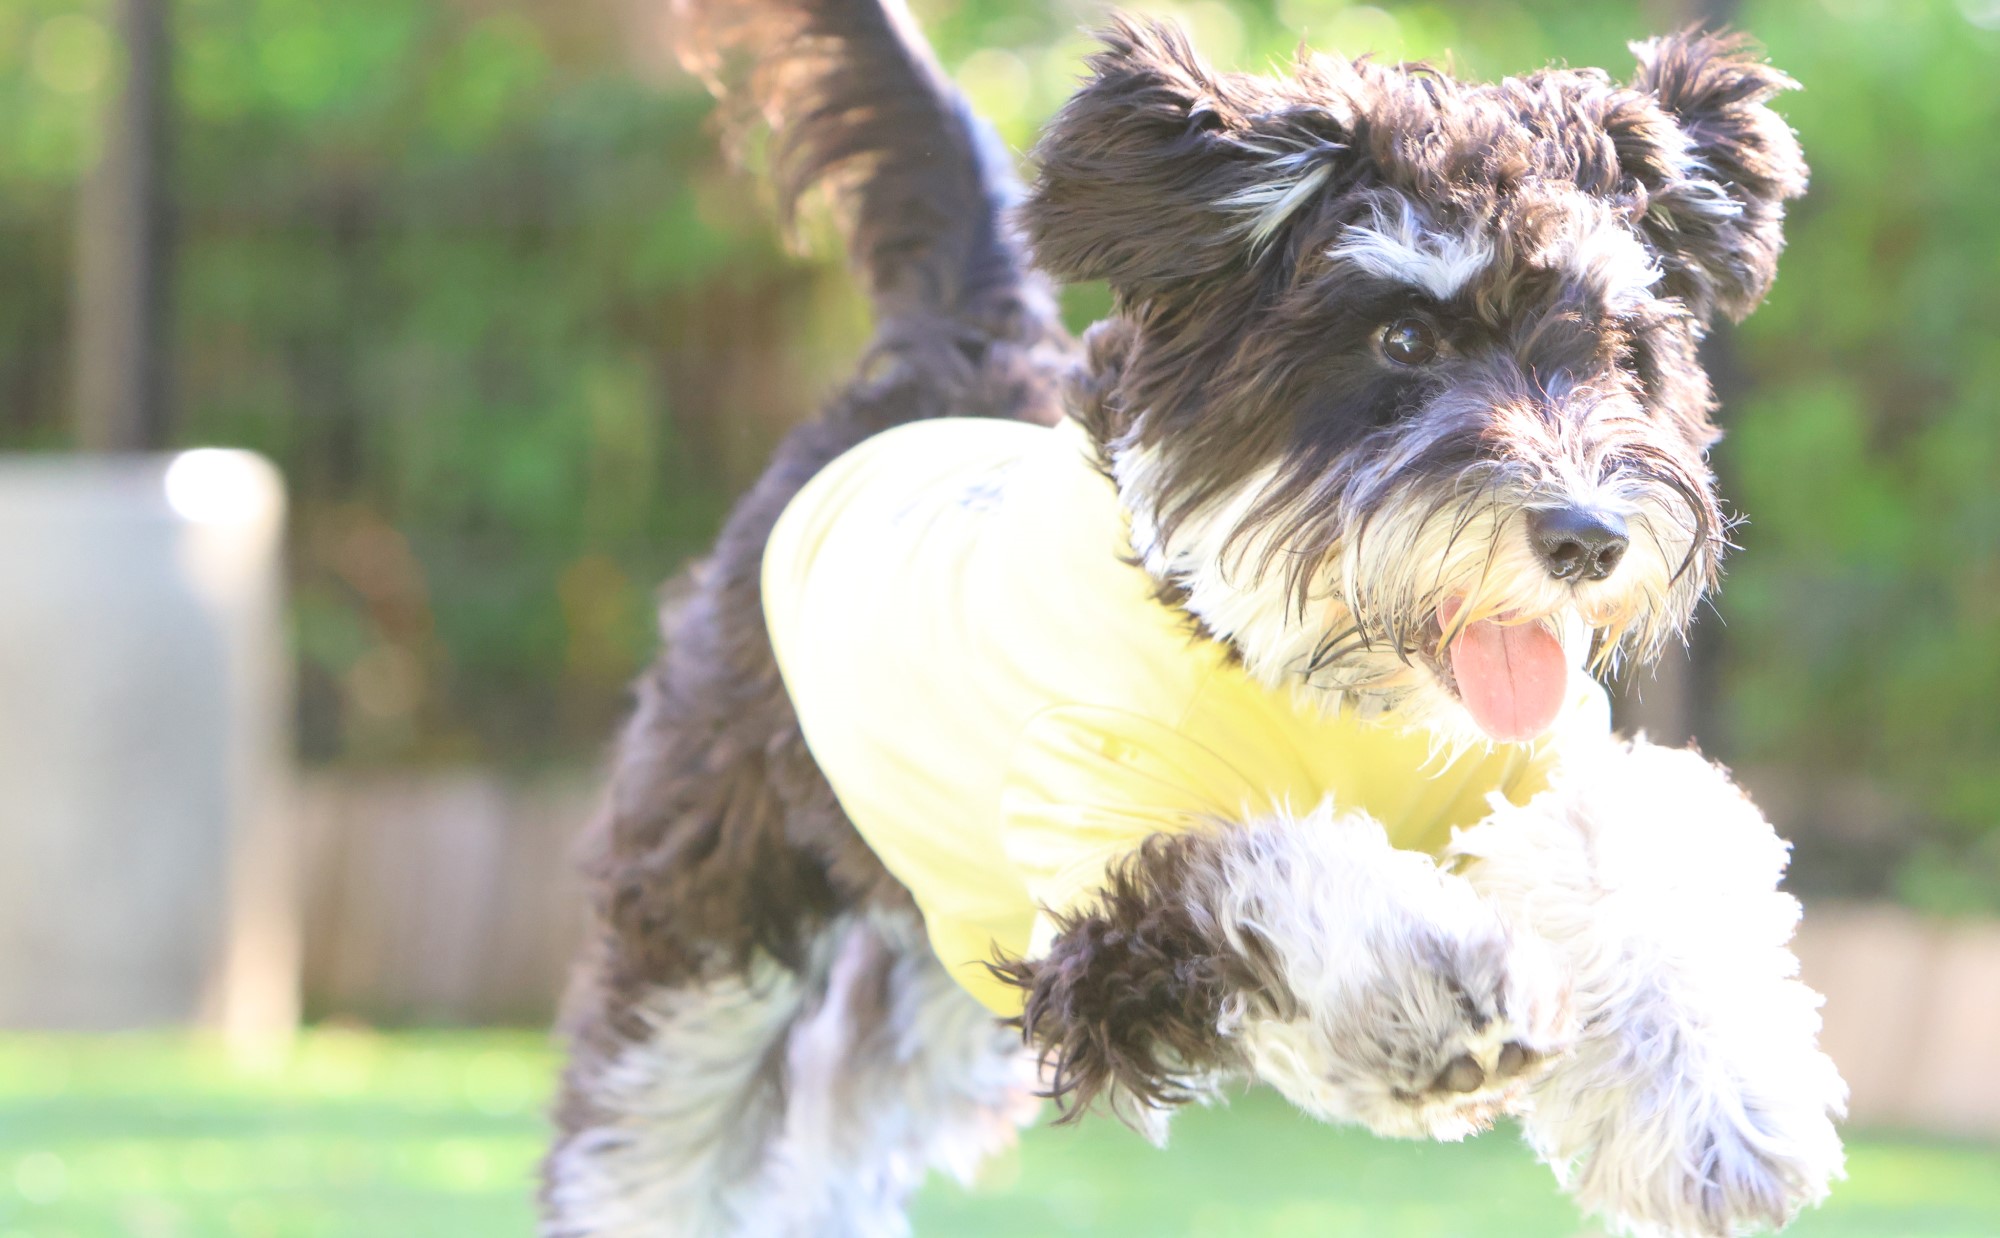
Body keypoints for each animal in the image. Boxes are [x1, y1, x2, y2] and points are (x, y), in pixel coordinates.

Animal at [544, 4, 1840, 1232]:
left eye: (1617, 350)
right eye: (1402, 335)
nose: (1585, 537)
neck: (1303, 675)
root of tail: (946, 360)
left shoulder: (1527, 768)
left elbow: (1642, 839)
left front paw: (1719, 1106)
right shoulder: (1096, 888)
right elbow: (1254, 864)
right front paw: (1438, 997)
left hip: (923, 962)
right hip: (719, 906)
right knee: (653, 1129)